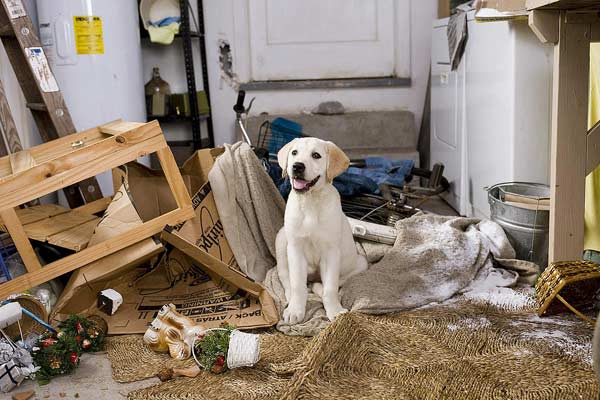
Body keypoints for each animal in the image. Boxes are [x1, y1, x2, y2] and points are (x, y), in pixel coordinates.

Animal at [276, 138, 368, 324]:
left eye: (316, 155)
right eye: (294, 152)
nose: (297, 166)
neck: (311, 202)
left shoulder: (331, 251)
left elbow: (331, 287)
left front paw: (335, 310)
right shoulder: (295, 248)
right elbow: (297, 284)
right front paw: (296, 310)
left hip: (361, 262)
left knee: (334, 282)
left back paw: (318, 287)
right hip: (282, 240)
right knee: (285, 276)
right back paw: (291, 298)